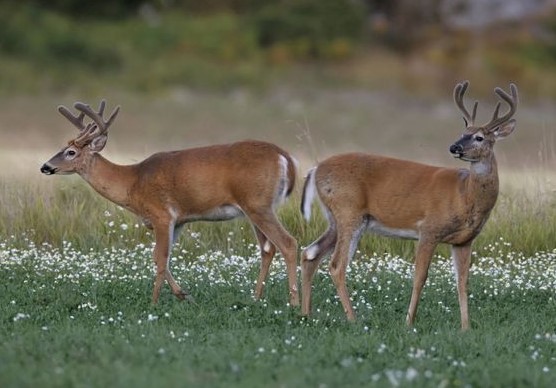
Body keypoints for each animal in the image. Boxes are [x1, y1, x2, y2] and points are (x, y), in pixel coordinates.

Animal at [40, 100, 300, 306]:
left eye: (71, 152)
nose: (45, 166)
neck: (133, 182)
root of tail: (285, 157)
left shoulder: (162, 215)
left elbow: (160, 257)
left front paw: (154, 302)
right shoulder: (180, 221)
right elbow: (161, 257)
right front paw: (185, 295)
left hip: (258, 204)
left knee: (288, 243)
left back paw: (295, 302)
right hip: (255, 208)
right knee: (268, 248)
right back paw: (255, 298)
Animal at [300, 80, 516, 328]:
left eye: (479, 137)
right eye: (463, 133)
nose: (454, 147)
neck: (465, 195)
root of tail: (315, 169)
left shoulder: (464, 241)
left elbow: (463, 282)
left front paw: (466, 327)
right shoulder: (429, 229)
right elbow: (420, 277)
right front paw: (409, 322)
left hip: (337, 220)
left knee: (310, 253)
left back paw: (305, 313)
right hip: (348, 212)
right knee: (336, 265)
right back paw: (353, 319)